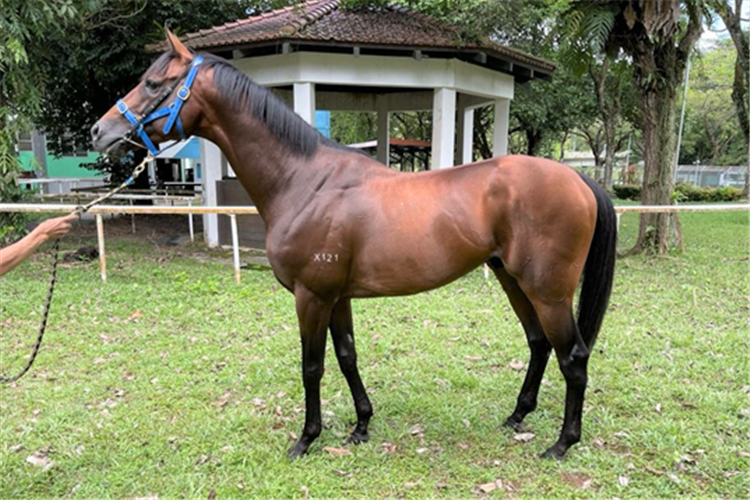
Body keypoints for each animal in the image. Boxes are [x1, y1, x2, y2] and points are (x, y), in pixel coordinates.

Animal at [92, 32, 616, 460]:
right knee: (538, 344)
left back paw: (562, 443)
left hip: (547, 291)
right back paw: (517, 416)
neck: (304, 181)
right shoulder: (337, 296)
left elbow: (312, 366)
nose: (101, 131)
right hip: (513, 279)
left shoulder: (312, 297)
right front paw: (361, 426)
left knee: (572, 355)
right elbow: (347, 357)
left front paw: (306, 438)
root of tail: (577, 178)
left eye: (154, 83)